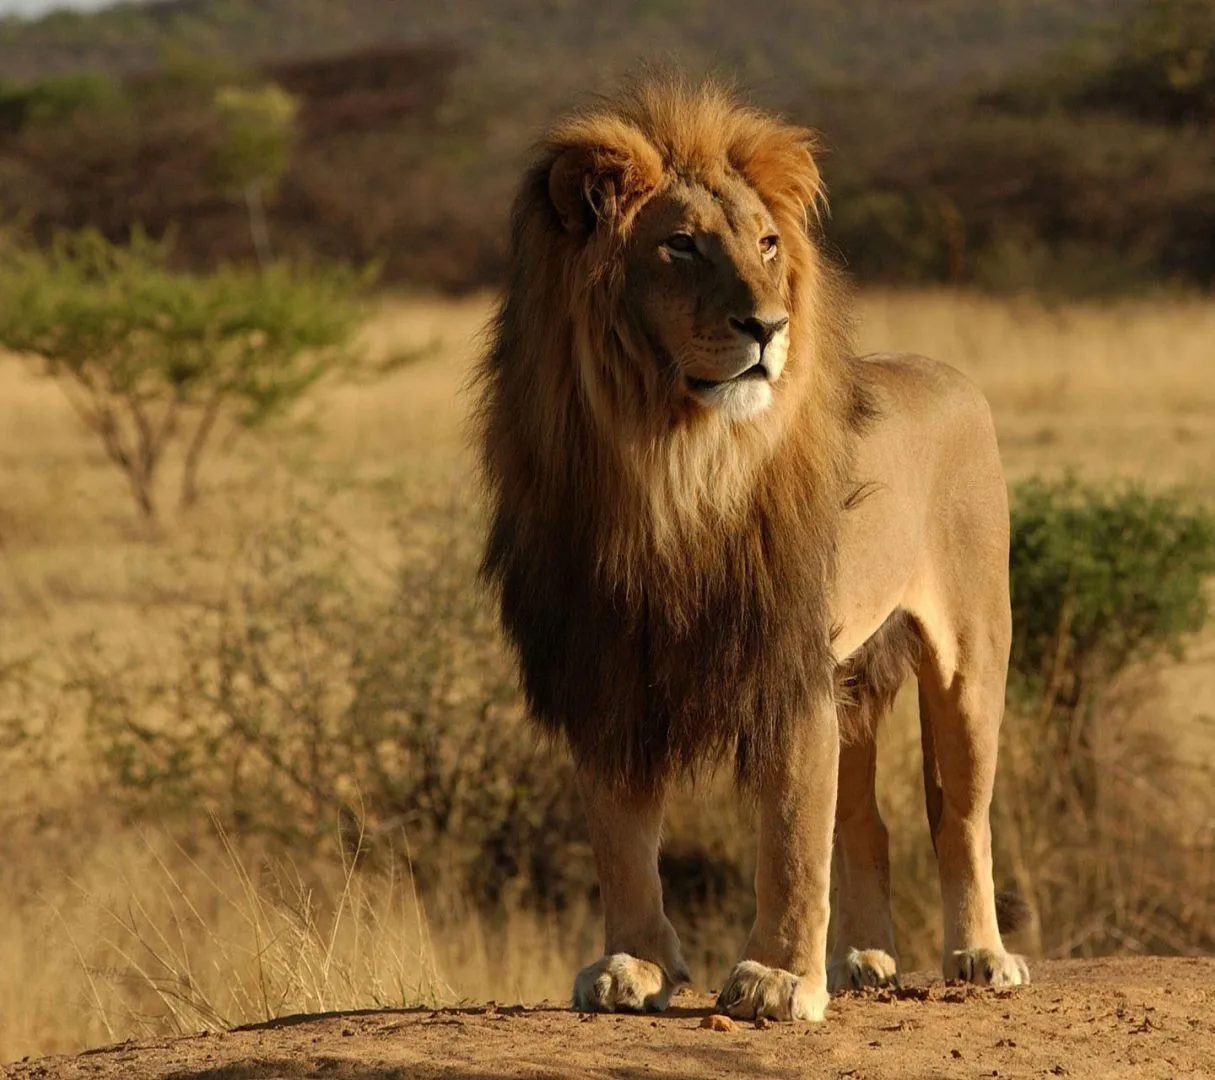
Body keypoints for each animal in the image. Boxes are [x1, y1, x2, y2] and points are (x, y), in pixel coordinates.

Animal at [473, 77, 1025, 1020]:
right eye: (681, 245)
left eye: (767, 244)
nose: (767, 326)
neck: (671, 464)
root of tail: (947, 374)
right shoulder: (605, 664)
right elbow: (621, 837)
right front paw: (633, 965)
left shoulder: (785, 662)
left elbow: (792, 837)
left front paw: (776, 978)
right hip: (855, 676)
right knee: (867, 820)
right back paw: (865, 961)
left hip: (970, 656)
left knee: (958, 816)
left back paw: (979, 956)